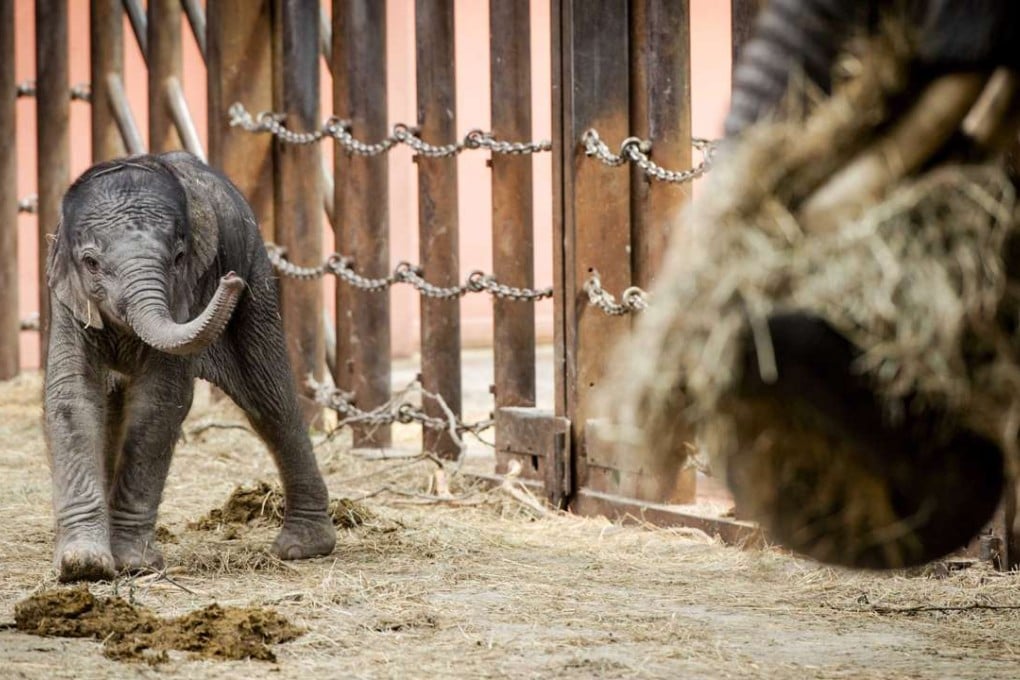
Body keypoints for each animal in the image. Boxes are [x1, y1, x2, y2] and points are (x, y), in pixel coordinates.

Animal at [44, 151, 336, 582]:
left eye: (179, 259)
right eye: (91, 263)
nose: (230, 280)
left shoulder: (188, 292)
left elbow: (160, 402)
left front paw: (132, 564)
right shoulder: (67, 299)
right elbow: (72, 398)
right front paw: (85, 566)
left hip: (257, 271)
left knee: (270, 400)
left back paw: (302, 548)